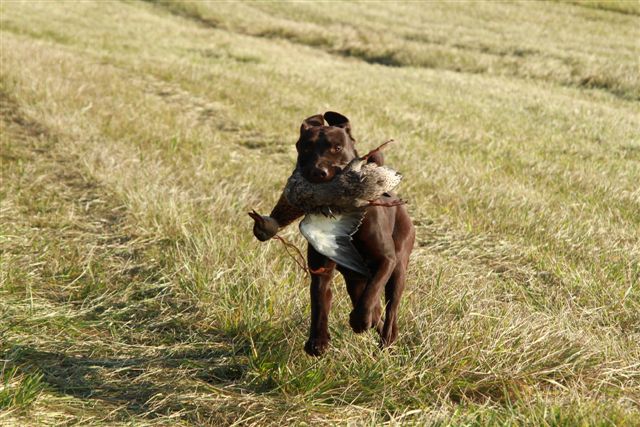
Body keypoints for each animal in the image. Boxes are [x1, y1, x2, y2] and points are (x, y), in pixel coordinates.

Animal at [250, 112, 416, 356]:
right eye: (305, 147)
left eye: (337, 147)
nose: (318, 172)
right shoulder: (322, 271)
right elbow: (320, 301)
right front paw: (317, 341)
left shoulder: (386, 260)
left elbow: (373, 291)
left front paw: (359, 321)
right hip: (355, 281)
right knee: (373, 307)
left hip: (398, 270)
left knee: (390, 309)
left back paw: (386, 339)